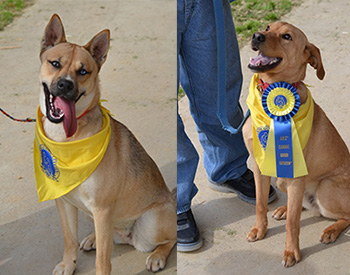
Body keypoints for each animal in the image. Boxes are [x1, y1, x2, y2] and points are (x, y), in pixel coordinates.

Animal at [37, 14, 176, 274]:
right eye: (55, 63)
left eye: (83, 71)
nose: (65, 85)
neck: (67, 139)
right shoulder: (65, 202)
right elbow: (68, 239)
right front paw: (68, 264)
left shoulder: (102, 209)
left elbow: (103, 261)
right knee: (109, 236)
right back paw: (93, 238)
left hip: (150, 223)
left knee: (170, 239)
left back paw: (157, 256)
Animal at [243, 22, 350, 268]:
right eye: (267, 27)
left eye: (287, 37)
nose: (256, 36)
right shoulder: (259, 166)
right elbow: (260, 203)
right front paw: (259, 229)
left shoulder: (295, 175)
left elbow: (293, 224)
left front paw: (291, 252)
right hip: (283, 181)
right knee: (300, 205)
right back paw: (284, 209)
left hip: (325, 187)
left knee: (345, 215)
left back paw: (331, 230)